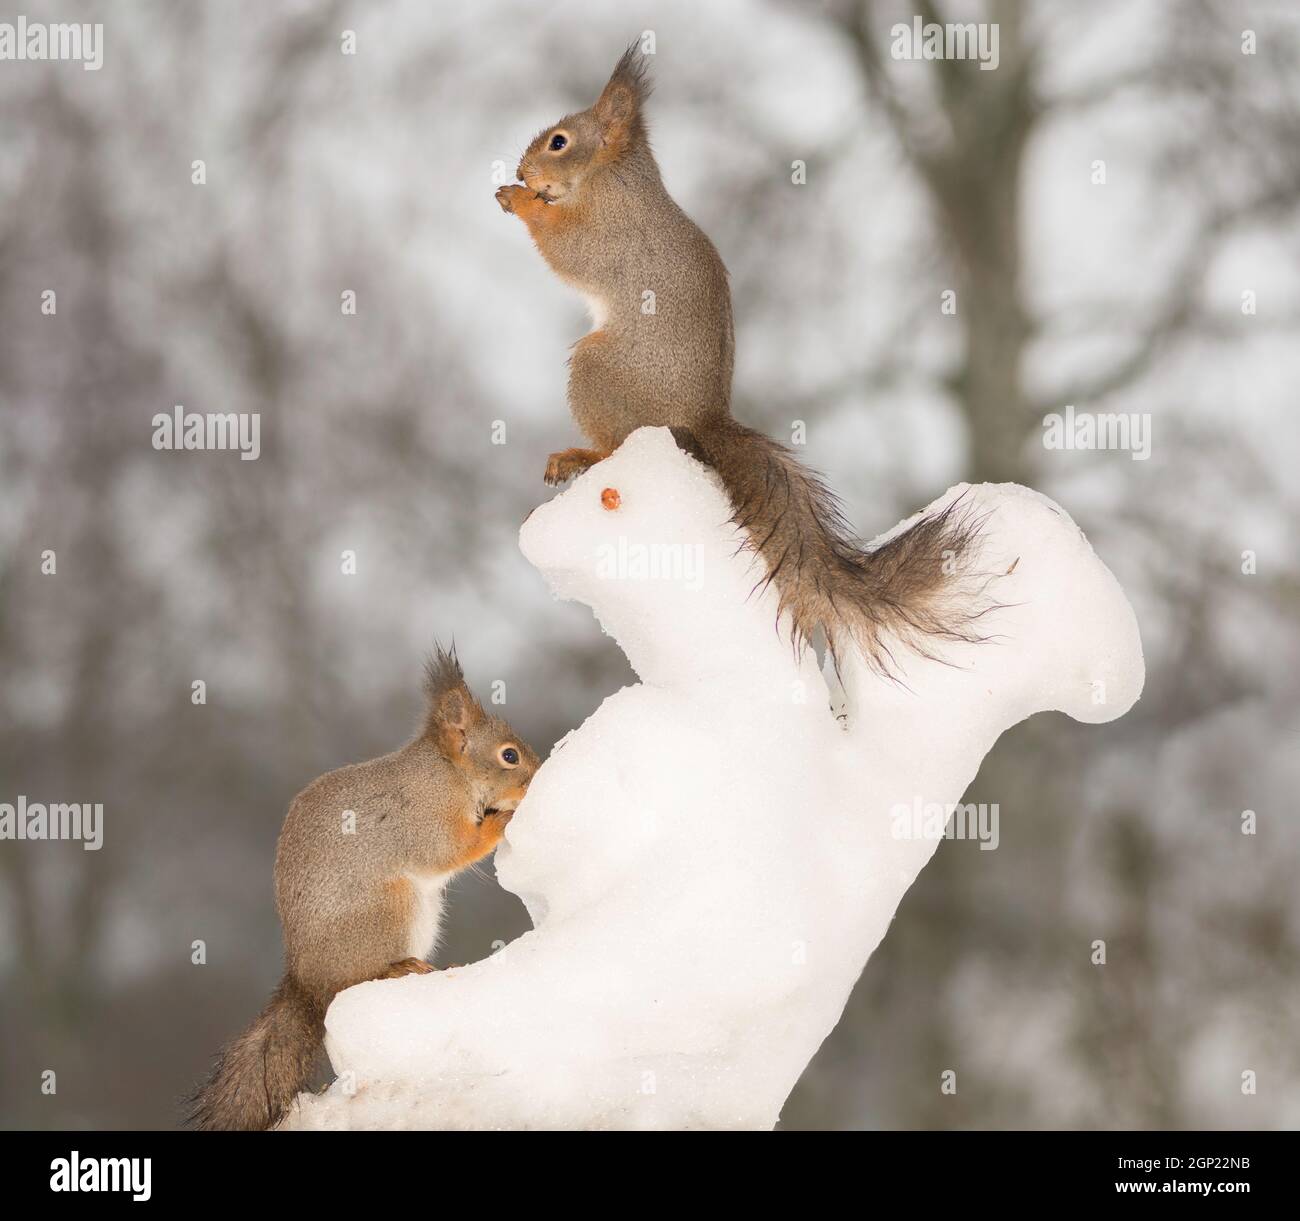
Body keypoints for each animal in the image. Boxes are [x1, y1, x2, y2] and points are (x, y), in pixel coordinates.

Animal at [188, 649, 540, 1131]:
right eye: (509, 755)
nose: (538, 775)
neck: (447, 773)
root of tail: (307, 981)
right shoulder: (424, 817)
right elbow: (448, 849)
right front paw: (502, 820)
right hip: (389, 909)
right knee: (353, 980)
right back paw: (395, 969)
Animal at [496, 44, 985, 673]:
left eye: (559, 142)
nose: (523, 171)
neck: (612, 179)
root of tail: (701, 418)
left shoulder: (608, 235)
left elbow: (565, 247)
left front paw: (520, 200)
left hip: (598, 369)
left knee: (615, 443)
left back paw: (581, 454)